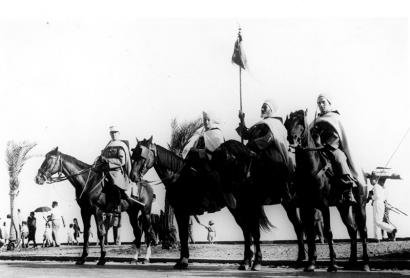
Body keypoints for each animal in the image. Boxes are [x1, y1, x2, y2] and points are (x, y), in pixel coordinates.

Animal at [130, 137, 306, 272]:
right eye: (133, 155)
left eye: (142, 155)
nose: (133, 176)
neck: (178, 177)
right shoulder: (182, 213)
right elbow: (184, 235)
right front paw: (182, 260)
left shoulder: (181, 212)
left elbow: (184, 236)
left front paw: (183, 261)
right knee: (249, 231)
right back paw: (248, 262)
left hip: (260, 205)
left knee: (258, 230)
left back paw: (260, 262)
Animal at [284, 110, 370, 272]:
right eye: (287, 124)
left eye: (301, 123)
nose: (293, 139)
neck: (310, 169)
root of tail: (362, 174)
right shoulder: (306, 207)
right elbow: (310, 233)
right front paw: (311, 263)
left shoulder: (324, 206)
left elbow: (328, 232)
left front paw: (333, 264)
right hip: (343, 207)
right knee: (352, 230)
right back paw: (351, 262)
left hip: (360, 206)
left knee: (363, 231)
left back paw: (365, 264)